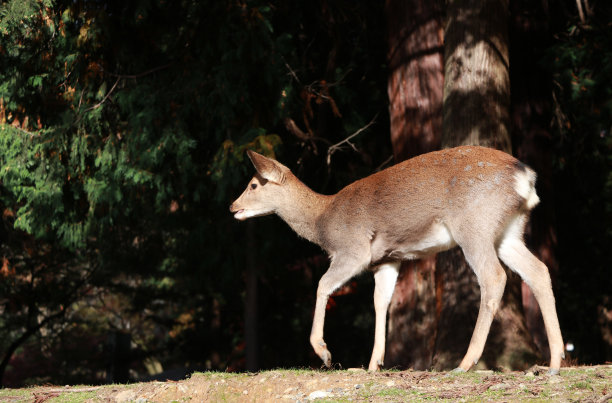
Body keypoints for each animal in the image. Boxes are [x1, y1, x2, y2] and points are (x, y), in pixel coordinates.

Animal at [230, 148, 564, 376]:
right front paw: (373, 364)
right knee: (539, 271)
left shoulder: (353, 250)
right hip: (508, 231)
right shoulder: (386, 261)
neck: (322, 221)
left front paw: (324, 353)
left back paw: (465, 363)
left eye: (254, 185)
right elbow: (381, 302)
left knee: (494, 277)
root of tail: (526, 178)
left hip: (474, 225)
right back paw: (555, 361)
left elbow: (322, 285)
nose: (233, 206)